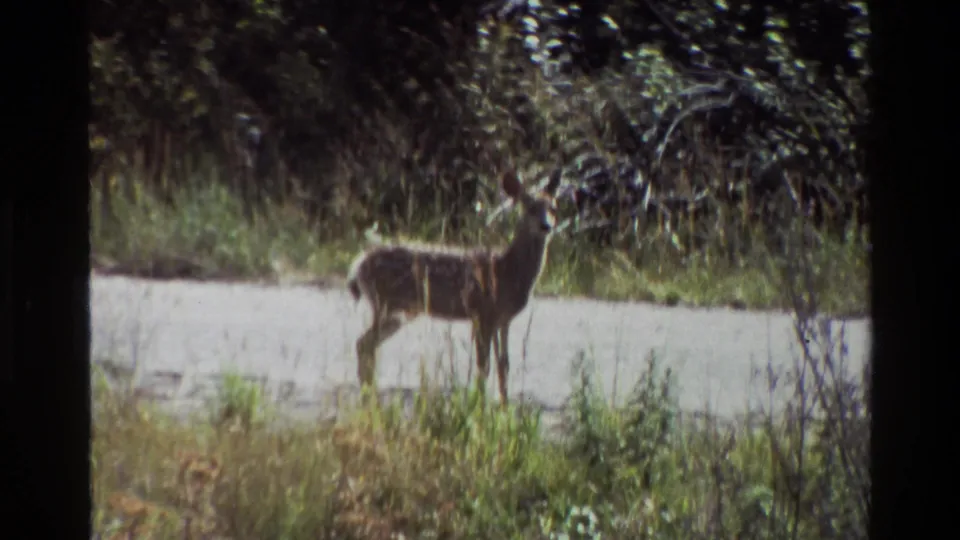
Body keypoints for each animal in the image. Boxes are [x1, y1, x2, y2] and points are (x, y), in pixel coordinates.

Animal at [345, 169, 561, 406]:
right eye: (529, 207)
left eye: (553, 208)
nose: (546, 226)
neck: (507, 270)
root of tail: (358, 265)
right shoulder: (483, 314)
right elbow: (484, 365)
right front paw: (480, 405)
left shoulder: (503, 320)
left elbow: (504, 364)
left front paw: (504, 405)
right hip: (386, 305)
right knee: (364, 344)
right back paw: (369, 396)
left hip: (401, 312)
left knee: (366, 344)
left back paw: (370, 394)